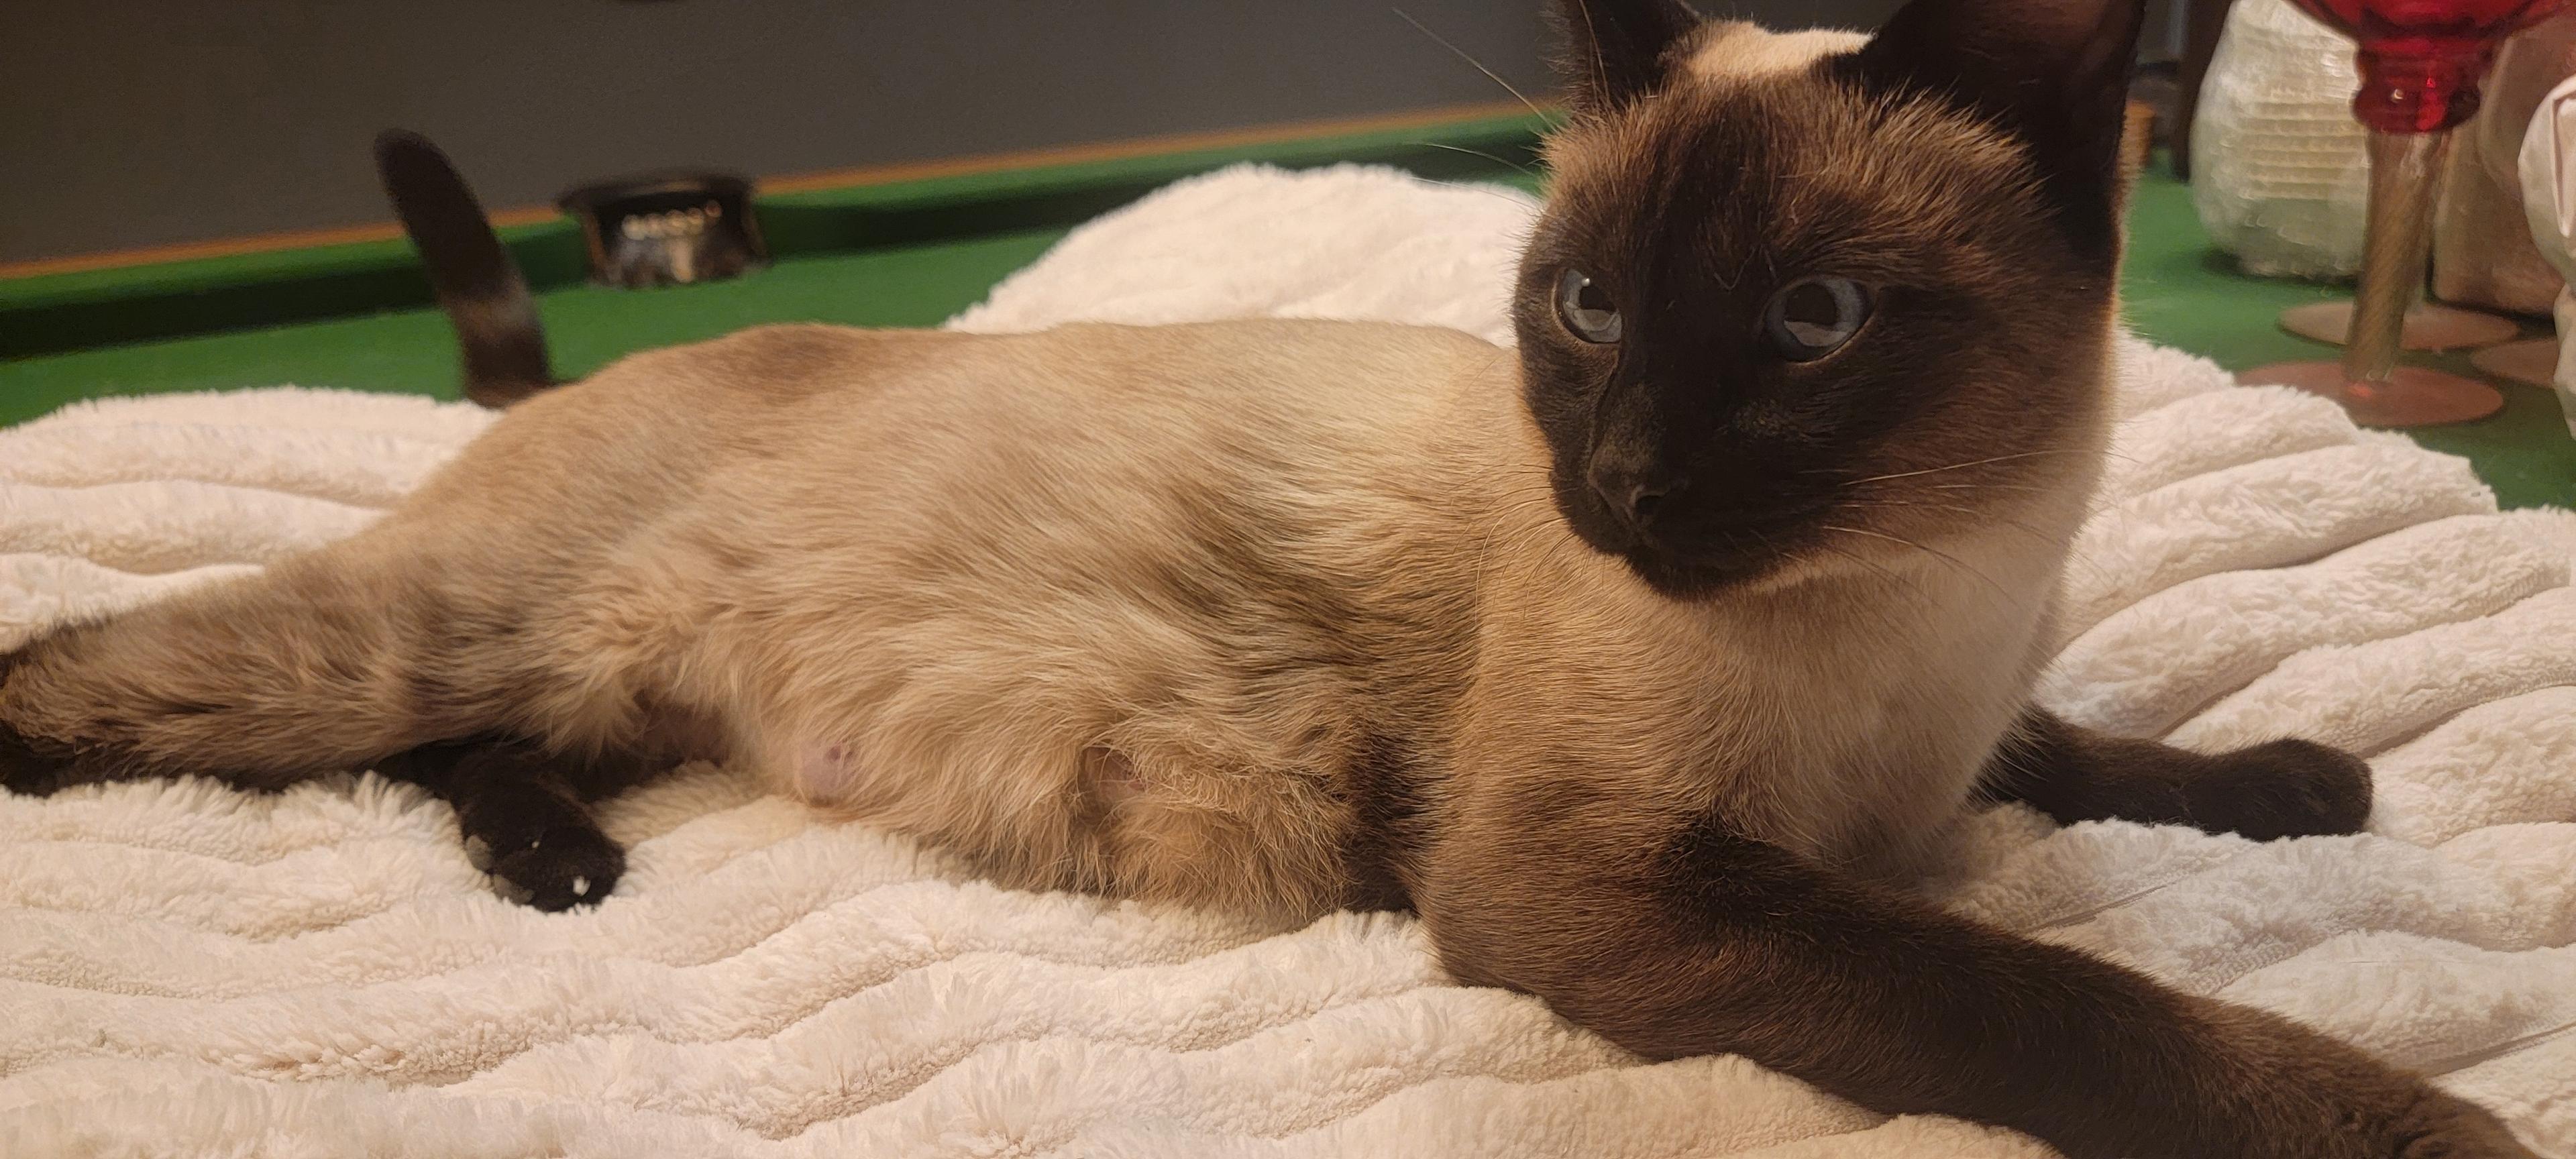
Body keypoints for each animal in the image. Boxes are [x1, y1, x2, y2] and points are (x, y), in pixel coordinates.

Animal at [0, 0, 2534, 1154]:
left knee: (479, 748)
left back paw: (563, 868)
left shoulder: (1955, 736)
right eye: (1582, 304)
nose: (1618, 475)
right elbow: (2060, 1006)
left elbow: (2095, 748)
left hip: (599, 687)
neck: (1922, 602)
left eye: (1808, 325)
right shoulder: (1600, 881)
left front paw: (2300, 784)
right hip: (385, 645)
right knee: (117, 671)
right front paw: (2437, 1130)